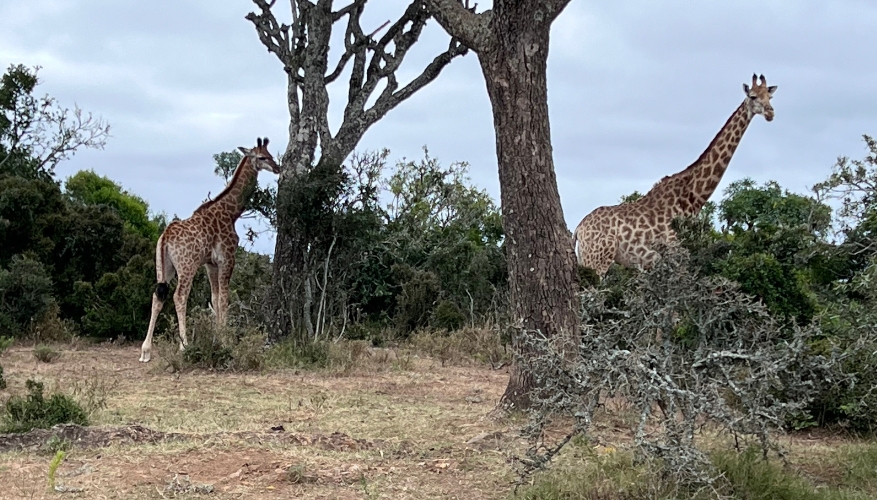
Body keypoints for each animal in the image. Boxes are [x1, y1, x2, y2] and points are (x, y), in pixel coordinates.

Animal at [139, 137, 280, 362]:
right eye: (262, 157)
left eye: (270, 155)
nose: (277, 168)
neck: (231, 212)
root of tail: (166, 237)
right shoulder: (227, 259)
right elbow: (223, 300)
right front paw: (225, 340)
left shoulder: (210, 264)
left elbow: (214, 299)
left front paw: (217, 338)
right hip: (187, 266)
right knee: (179, 296)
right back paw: (184, 346)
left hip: (164, 266)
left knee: (157, 296)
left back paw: (146, 350)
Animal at [572, 74, 777, 277]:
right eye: (753, 96)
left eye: (770, 96)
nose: (770, 113)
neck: (693, 197)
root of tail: (579, 229)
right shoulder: (675, 255)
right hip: (598, 260)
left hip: (586, 259)